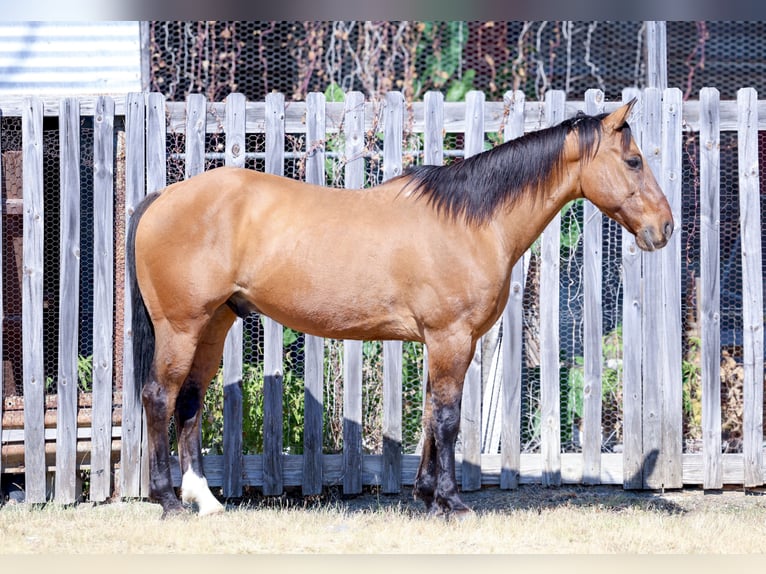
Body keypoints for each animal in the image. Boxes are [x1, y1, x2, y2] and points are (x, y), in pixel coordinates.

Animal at [127, 98, 673, 518]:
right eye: (633, 161)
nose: (664, 227)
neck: (471, 222)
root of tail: (164, 196)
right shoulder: (451, 337)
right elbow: (448, 418)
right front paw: (452, 502)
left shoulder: (442, 342)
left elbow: (431, 413)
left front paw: (427, 497)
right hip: (181, 326)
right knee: (159, 397)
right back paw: (167, 500)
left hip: (214, 323)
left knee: (190, 400)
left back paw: (205, 500)